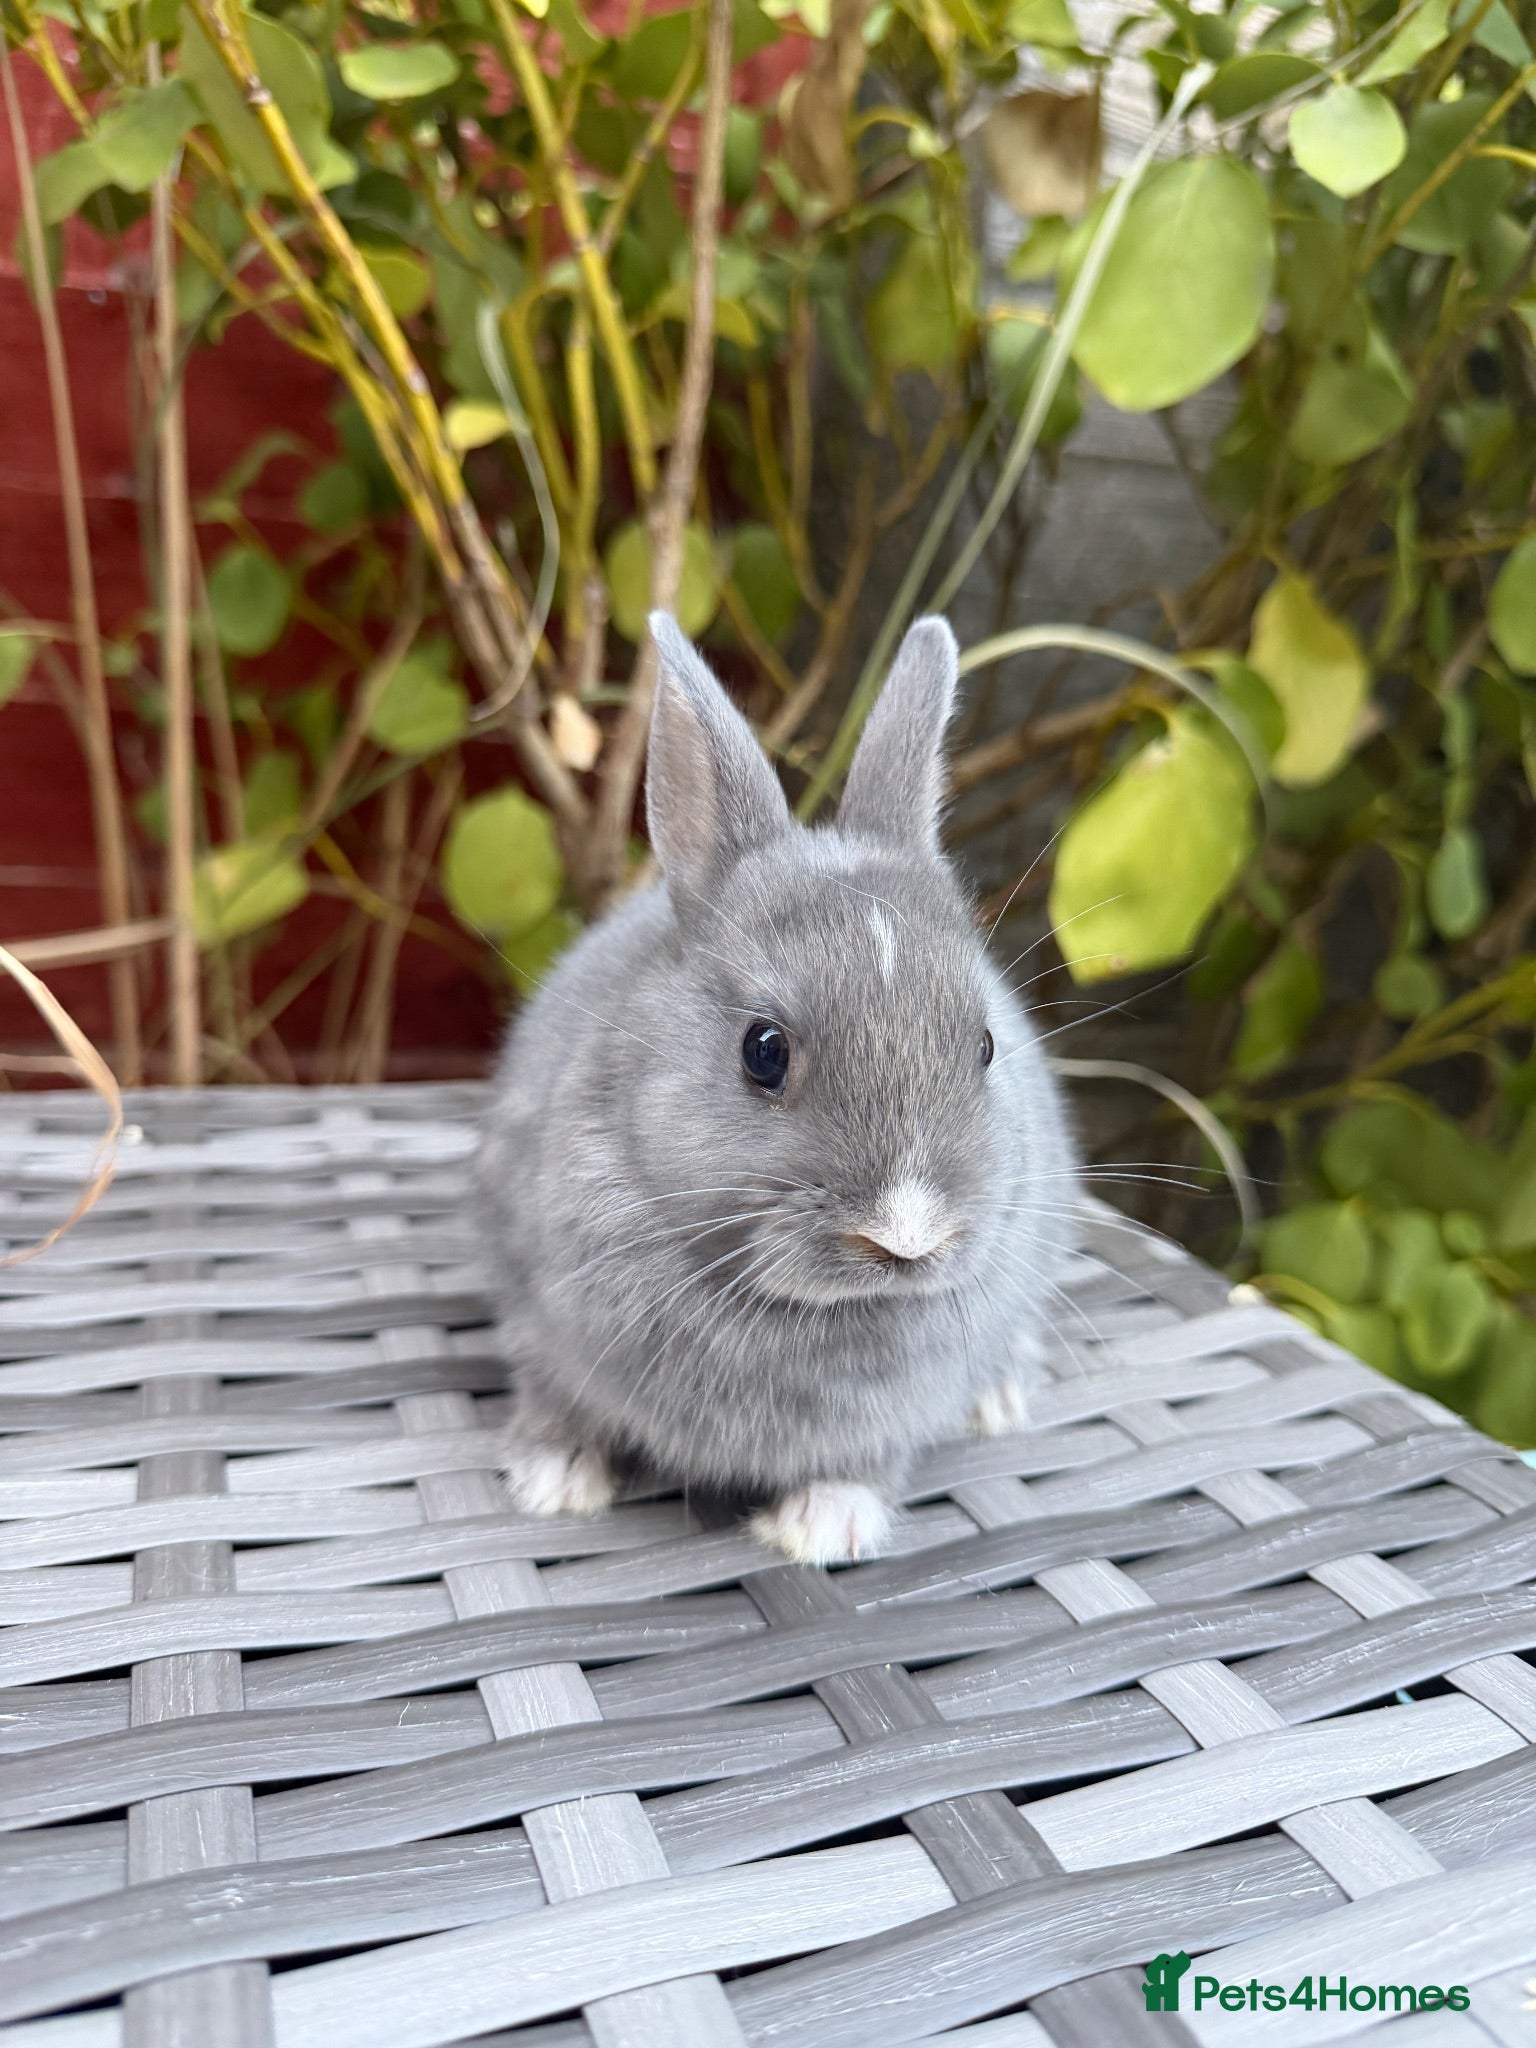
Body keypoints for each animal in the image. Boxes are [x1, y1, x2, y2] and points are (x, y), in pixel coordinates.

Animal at [476, 610, 1078, 1565]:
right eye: (764, 1051)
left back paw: (1000, 1401)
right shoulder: (540, 1326)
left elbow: (866, 1461)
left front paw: (823, 1528)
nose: (905, 1236)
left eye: (984, 1046)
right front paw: (555, 1485)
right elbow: (554, 1401)